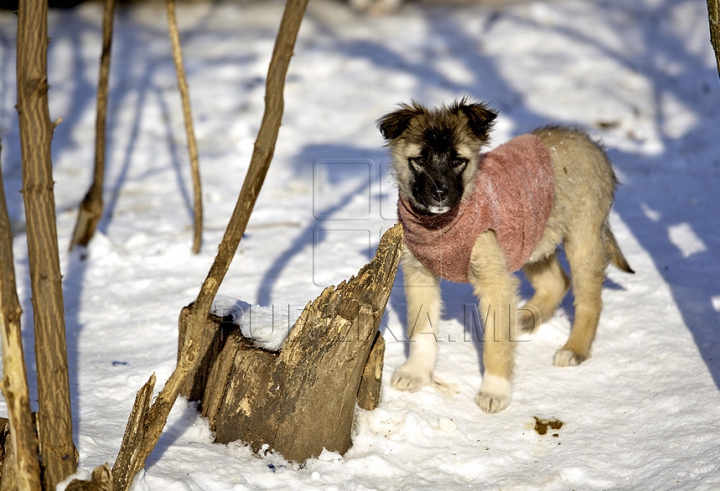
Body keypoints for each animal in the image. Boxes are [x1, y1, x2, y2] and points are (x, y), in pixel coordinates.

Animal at [380, 100, 632, 416]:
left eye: (458, 160)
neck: (441, 225)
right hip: (532, 240)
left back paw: (573, 349)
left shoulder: (494, 282)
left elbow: (495, 345)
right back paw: (524, 319)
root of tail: (591, 142)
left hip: (582, 239)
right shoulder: (420, 274)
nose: (440, 194)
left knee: (589, 300)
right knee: (556, 281)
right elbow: (421, 330)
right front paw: (416, 372)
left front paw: (494, 390)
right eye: (419, 160)